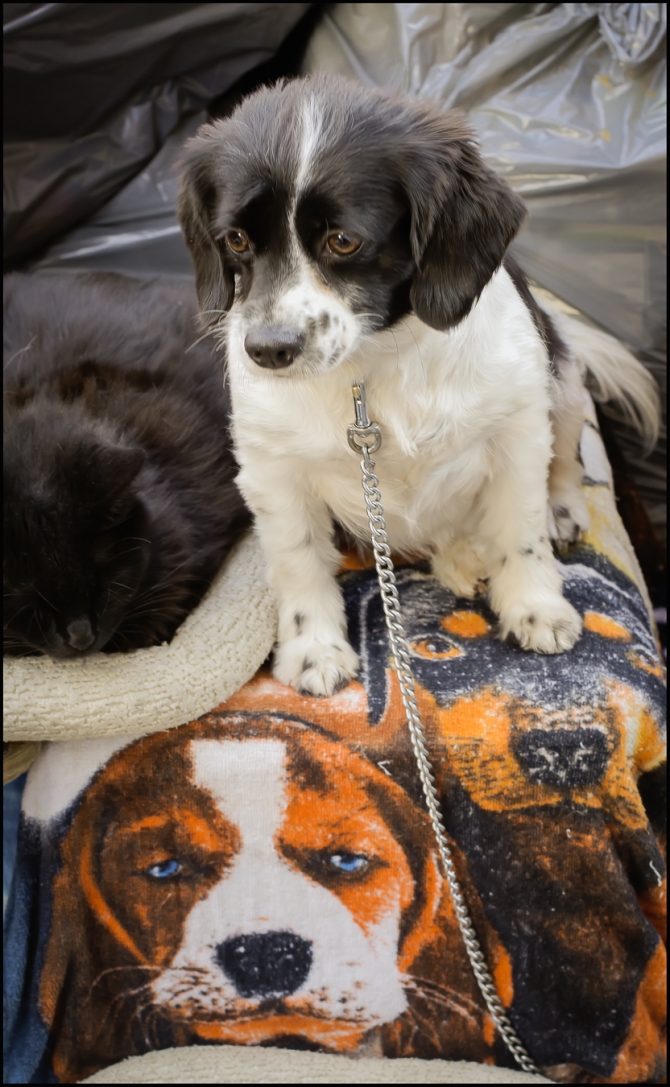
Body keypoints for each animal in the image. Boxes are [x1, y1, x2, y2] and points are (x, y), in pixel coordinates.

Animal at [177, 74, 659, 696]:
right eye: (235, 239)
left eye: (343, 241)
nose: (266, 351)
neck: (370, 369)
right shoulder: (272, 470)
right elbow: (298, 561)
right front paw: (313, 649)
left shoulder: (518, 432)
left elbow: (520, 529)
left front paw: (533, 606)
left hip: (564, 378)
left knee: (566, 464)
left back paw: (552, 514)